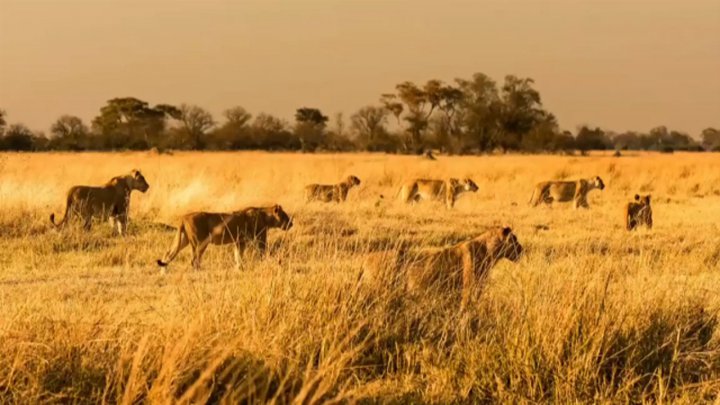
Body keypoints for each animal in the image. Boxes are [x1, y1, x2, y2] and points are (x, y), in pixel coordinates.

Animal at [157, 204, 292, 270]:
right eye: (285, 215)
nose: (292, 223)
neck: (266, 216)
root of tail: (183, 217)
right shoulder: (260, 239)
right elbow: (262, 253)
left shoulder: (240, 241)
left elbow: (238, 255)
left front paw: (239, 267)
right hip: (200, 242)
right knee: (194, 260)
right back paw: (199, 271)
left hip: (183, 240)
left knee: (168, 253)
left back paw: (164, 271)